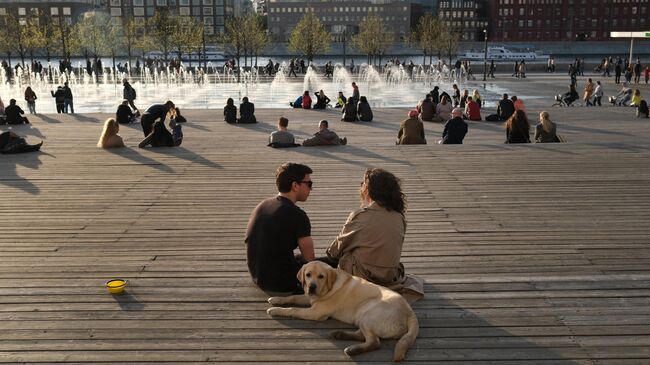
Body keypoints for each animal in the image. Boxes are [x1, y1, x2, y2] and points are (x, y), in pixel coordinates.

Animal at [266, 260, 418, 360]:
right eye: (308, 274)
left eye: (321, 276)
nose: (312, 287)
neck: (328, 287)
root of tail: (410, 313)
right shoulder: (310, 298)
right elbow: (294, 297)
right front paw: (276, 299)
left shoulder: (315, 312)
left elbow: (293, 310)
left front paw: (275, 310)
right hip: (363, 318)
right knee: (363, 335)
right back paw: (340, 335)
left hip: (368, 310)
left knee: (375, 342)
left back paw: (352, 349)